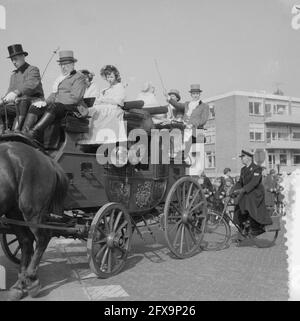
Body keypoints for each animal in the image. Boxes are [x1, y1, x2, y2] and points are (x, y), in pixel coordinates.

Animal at [0, 138, 68, 300]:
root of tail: (47, 160)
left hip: (31, 211)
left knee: (43, 238)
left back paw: (31, 279)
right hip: (14, 212)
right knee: (26, 241)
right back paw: (19, 285)